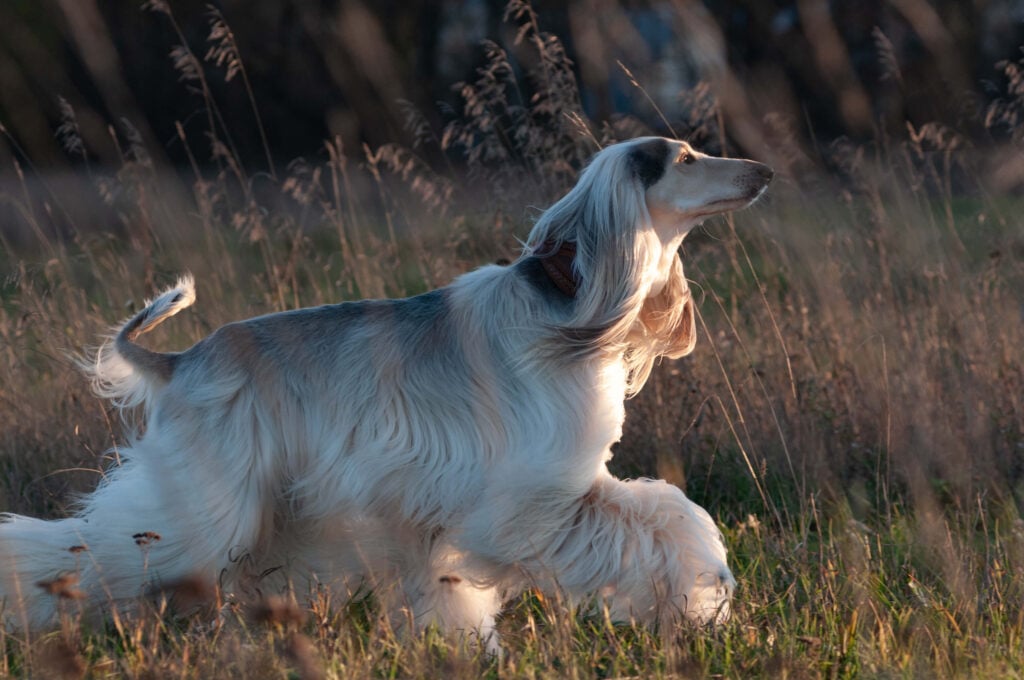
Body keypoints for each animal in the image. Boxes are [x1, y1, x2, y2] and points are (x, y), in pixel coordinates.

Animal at [0, 138, 770, 647]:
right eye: (686, 158)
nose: (764, 170)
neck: (570, 301)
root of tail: (179, 360)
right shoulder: (534, 498)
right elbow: (666, 522)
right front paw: (702, 597)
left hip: (266, 509)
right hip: (203, 505)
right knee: (91, 551)